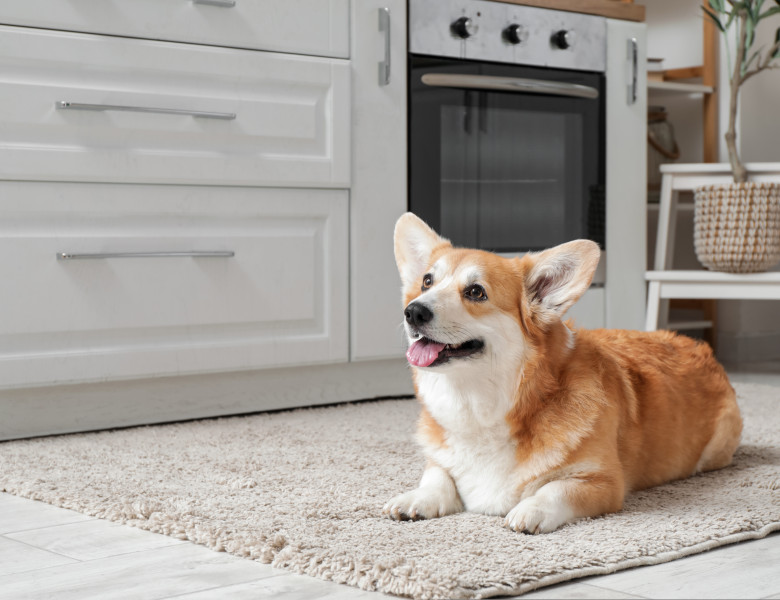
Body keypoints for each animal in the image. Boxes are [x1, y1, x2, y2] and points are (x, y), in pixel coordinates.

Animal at [384, 213, 744, 532]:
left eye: (475, 292)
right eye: (427, 282)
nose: (413, 311)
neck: (482, 406)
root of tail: (699, 347)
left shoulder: (602, 481)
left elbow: (555, 489)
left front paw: (529, 510)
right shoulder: (440, 459)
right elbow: (437, 476)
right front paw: (416, 499)